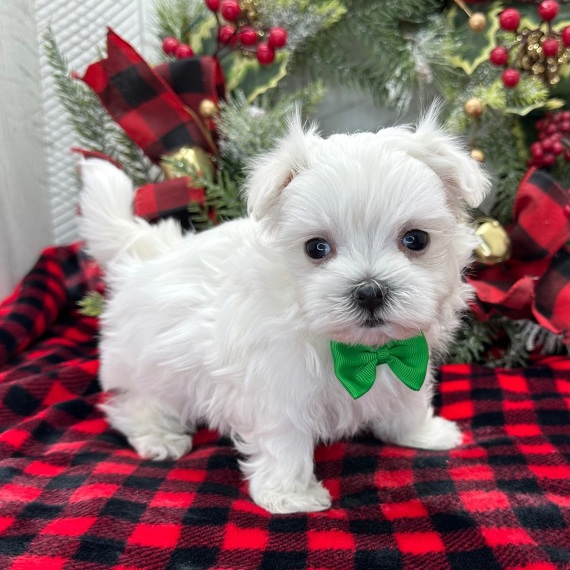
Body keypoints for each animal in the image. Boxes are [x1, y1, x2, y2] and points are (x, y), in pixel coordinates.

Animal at [79, 105, 488, 510]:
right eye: (316, 248)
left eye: (416, 239)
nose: (369, 291)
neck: (358, 349)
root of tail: (144, 255)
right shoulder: (276, 385)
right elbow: (284, 440)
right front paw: (291, 495)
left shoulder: (407, 355)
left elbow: (408, 398)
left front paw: (423, 432)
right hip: (151, 365)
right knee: (134, 405)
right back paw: (158, 437)